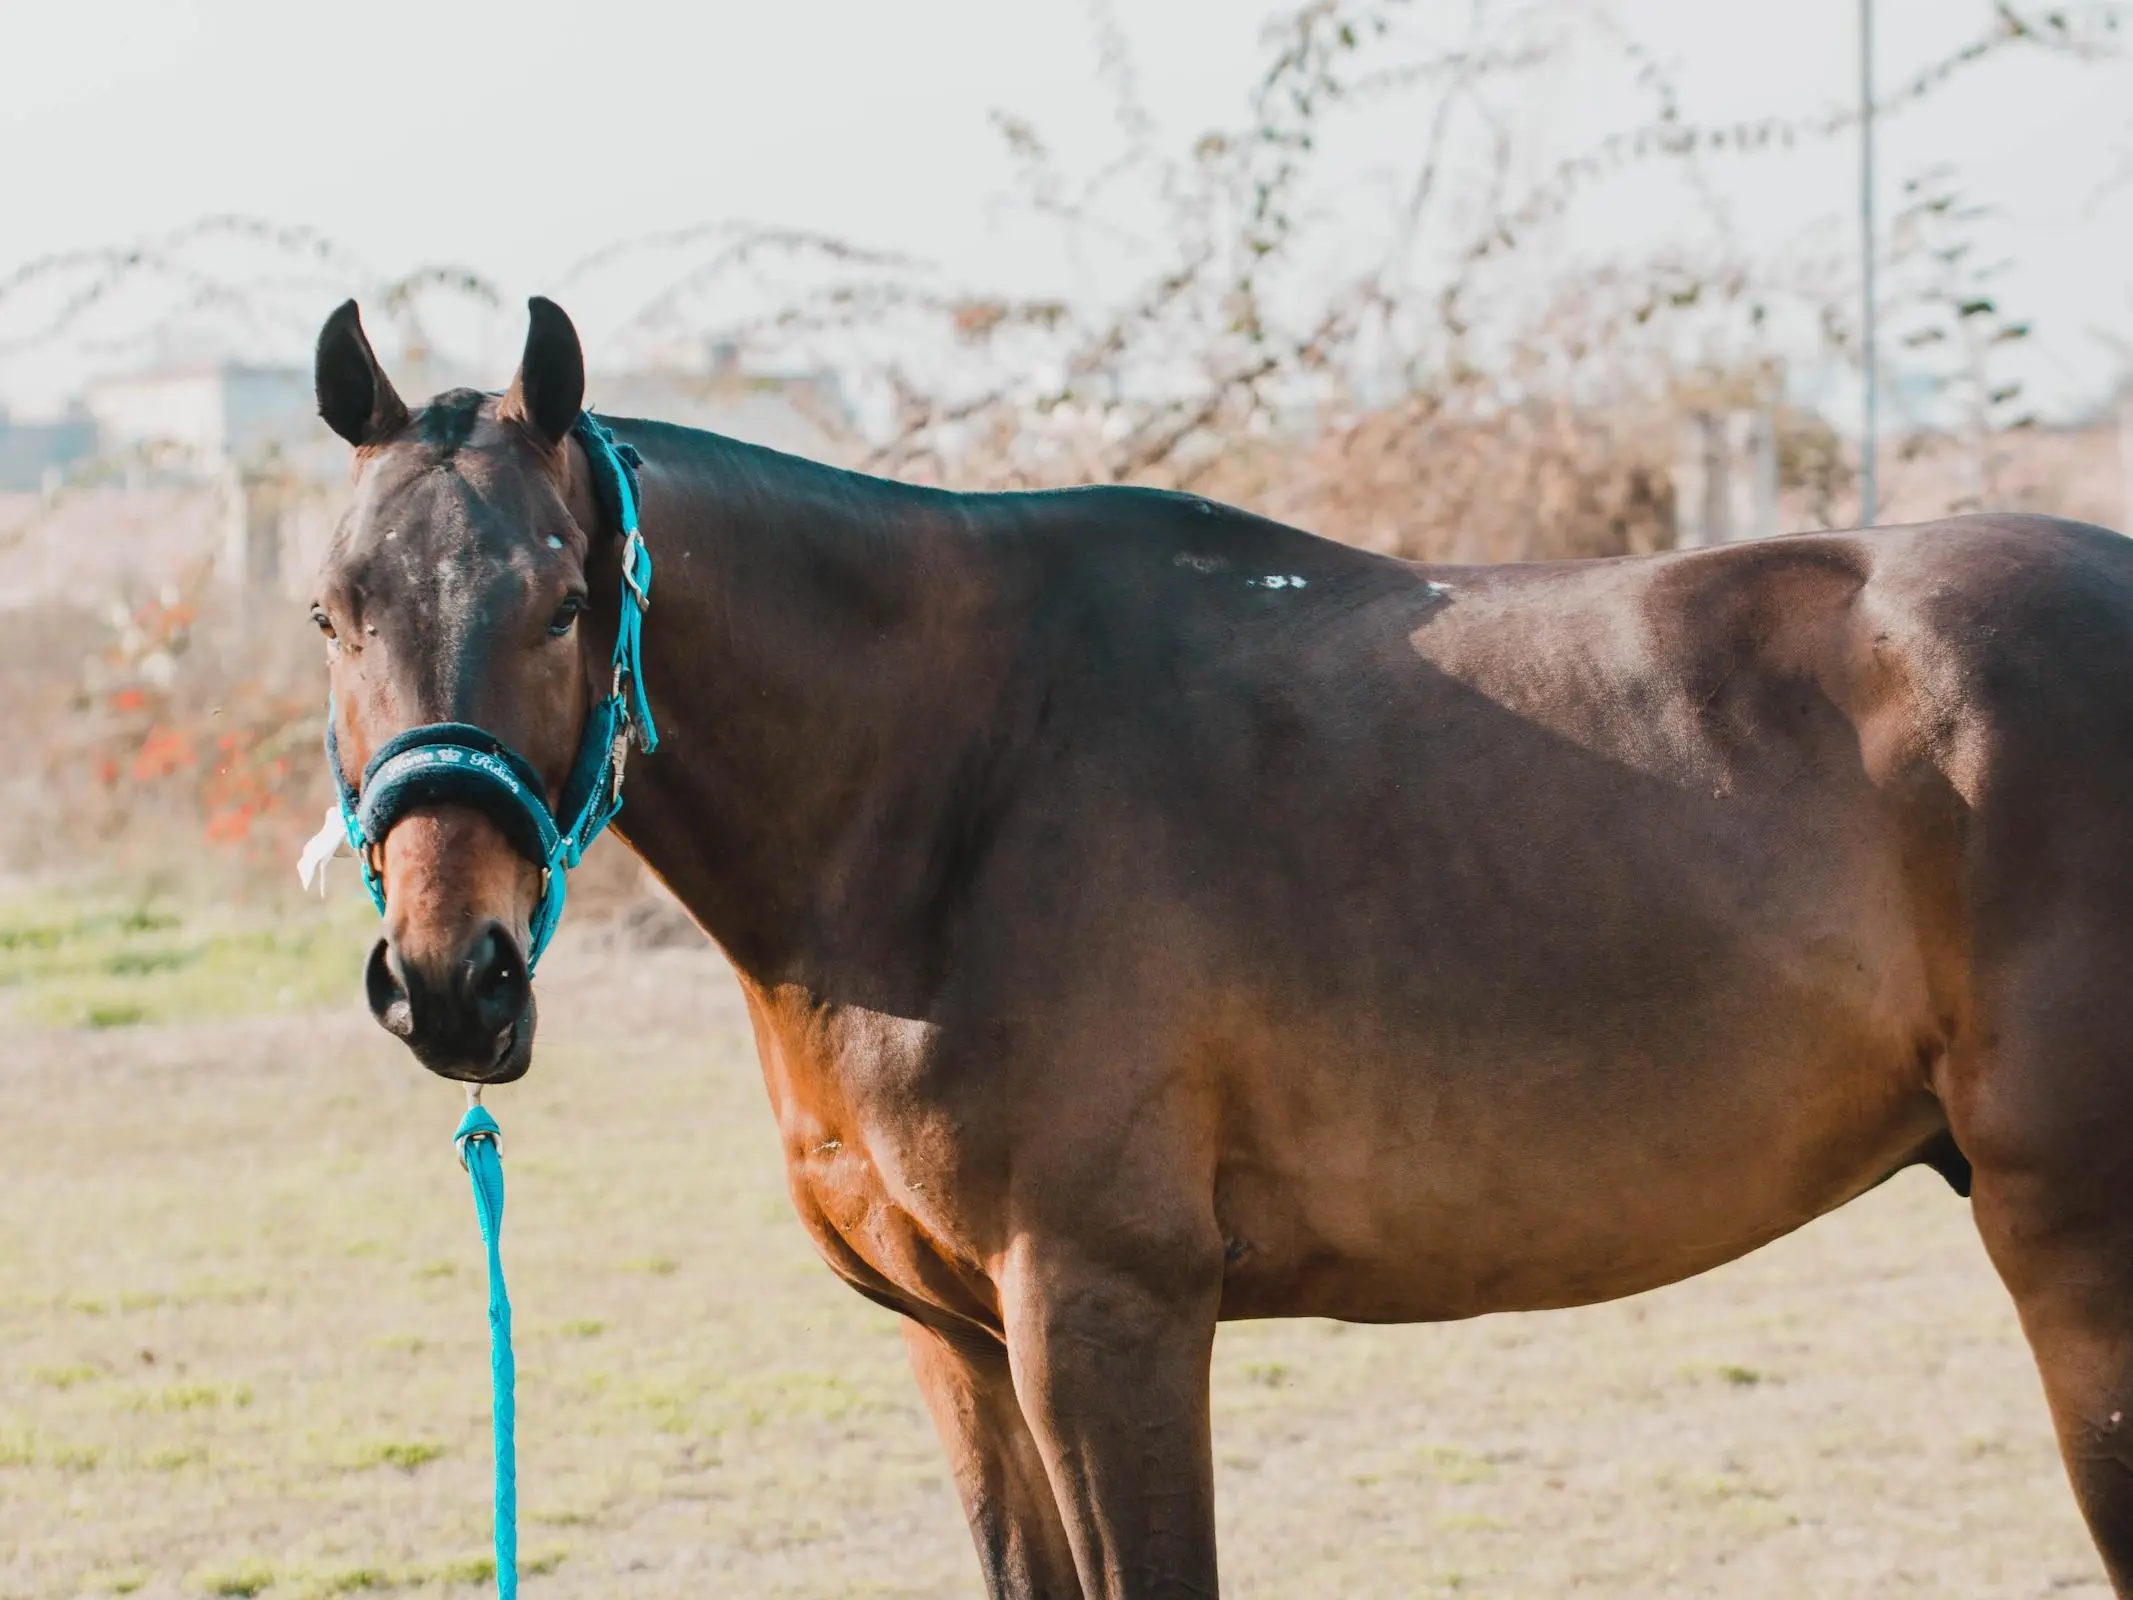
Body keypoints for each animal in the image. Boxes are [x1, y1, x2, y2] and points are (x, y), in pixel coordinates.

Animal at [309, 298, 2133, 1595]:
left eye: (563, 600)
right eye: (333, 608)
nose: (451, 978)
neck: (949, 775)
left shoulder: (1103, 1313)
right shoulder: (956, 1345)